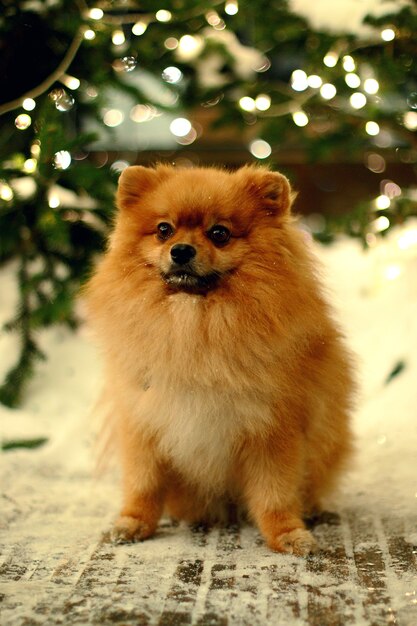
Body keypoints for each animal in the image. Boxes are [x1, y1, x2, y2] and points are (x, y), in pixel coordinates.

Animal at [85, 163, 354, 552]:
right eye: (164, 229)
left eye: (219, 233)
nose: (181, 251)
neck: (193, 324)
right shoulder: (143, 423)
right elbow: (143, 485)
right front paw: (132, 523)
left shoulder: (272, 428)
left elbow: (275, 493)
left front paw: (287, 533)